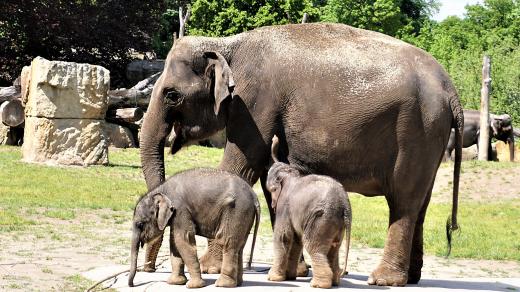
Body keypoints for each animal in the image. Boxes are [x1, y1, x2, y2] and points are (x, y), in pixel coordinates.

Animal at [128, 168, 260, 288]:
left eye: (140, 224)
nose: (133, 285)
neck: (161, 190)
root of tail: (254, 197)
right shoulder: (176, 216)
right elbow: (174, 243)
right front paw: (175, 282)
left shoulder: (180, 210)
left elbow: (183, 241)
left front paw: (193, 286)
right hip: (244, 215)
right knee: (239, 245)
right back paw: (238, 283)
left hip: (237, 211)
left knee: (227, 242)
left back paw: (223, 284)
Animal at [264, 136, 354, 288]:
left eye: (270, 190)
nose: (275, 139)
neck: (289, 173)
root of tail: (345, 205)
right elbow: (295, 240)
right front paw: (290, 277)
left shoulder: (285, 207)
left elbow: (283, 237)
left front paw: (272, 278)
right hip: (336, 223)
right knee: (333, 249)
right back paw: (334, 281)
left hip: (321, 218)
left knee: (313, 245)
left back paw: (318, 284)